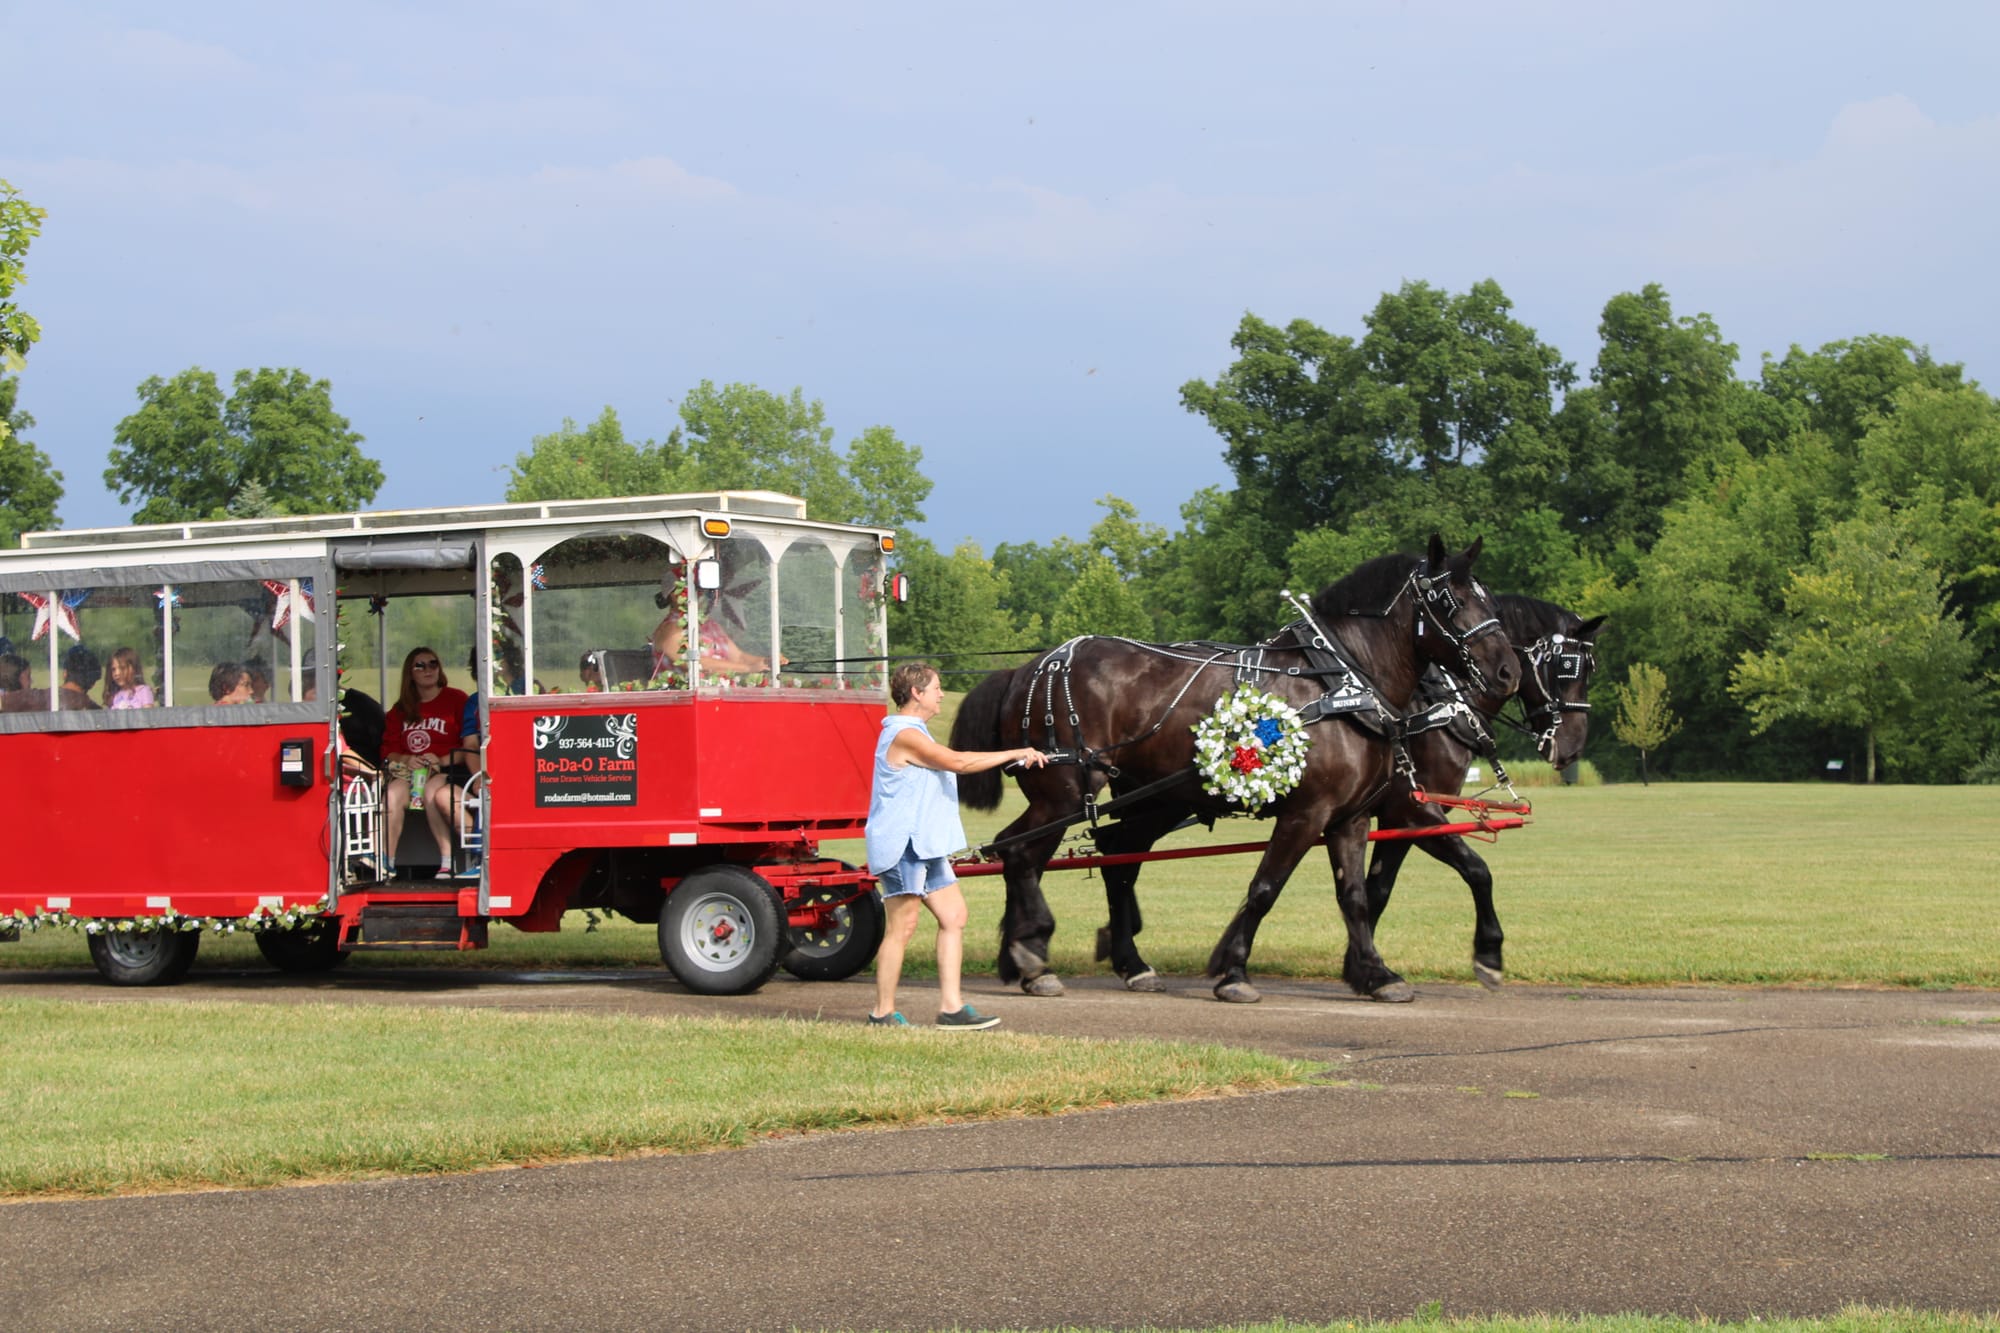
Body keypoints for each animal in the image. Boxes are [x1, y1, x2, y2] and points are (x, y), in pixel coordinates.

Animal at [952, 536, 1512, 1000]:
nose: (1507, 671)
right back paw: (1034, 955)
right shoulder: (1310, 813)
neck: (1342, 685)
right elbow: (1265, 888)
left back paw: (1056, 958)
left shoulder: (1351, 818)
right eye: (1450, 601)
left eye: (1491, 601)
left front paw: (1377, 973)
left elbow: (1356, 896)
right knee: (1021, 854)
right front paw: (1234, 971)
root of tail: (1028, 668)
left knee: (1051, 853)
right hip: (1064, 791)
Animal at [1360, 592, 1608, 984]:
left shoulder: (1397, 820)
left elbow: (1377, 892)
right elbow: (1477, 870)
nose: (1572, 748)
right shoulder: (1413, 810)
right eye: (1566, 665)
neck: (1433, 713)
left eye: (1591, 667)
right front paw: (1489, 951)